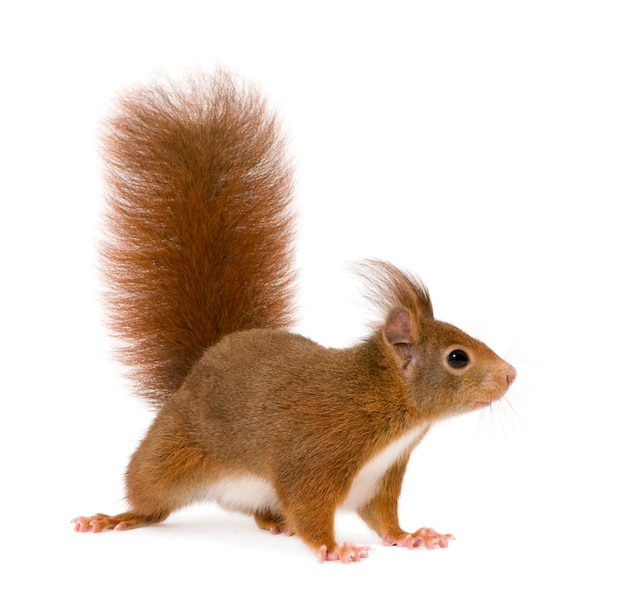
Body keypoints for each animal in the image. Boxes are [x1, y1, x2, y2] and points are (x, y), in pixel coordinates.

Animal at [72, 69, 516, 560]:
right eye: (458, 358)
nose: (511, 374)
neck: (386, 406)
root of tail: (200, 363)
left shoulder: (379, 478)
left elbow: (382, 518)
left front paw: (412, 536)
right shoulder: (315, 452)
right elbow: (307, 506)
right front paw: (335, 548)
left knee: (259, 511)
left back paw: (274, 524)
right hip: (169, 457)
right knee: (150, 501)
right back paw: (114, 518)